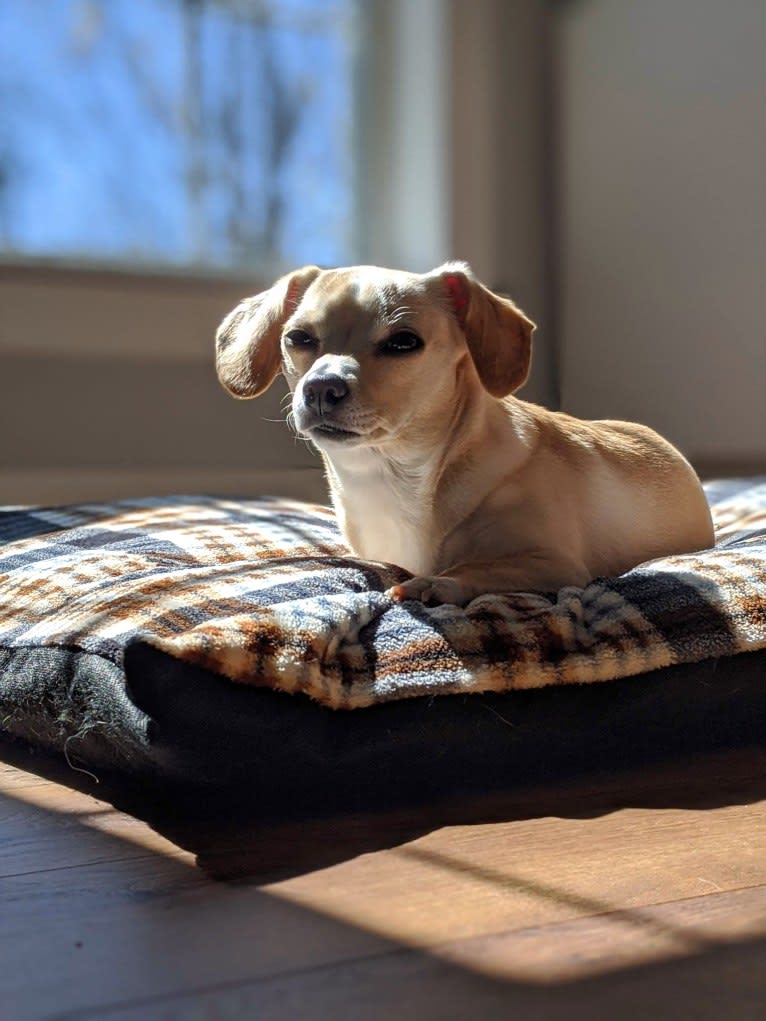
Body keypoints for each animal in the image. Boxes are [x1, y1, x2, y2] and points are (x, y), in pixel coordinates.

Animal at [214, 259, 714, 604]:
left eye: (403, 342)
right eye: (297, 338)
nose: (320, 388)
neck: (397, 475)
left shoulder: (553, 564)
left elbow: (475, 570)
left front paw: (434, 584)